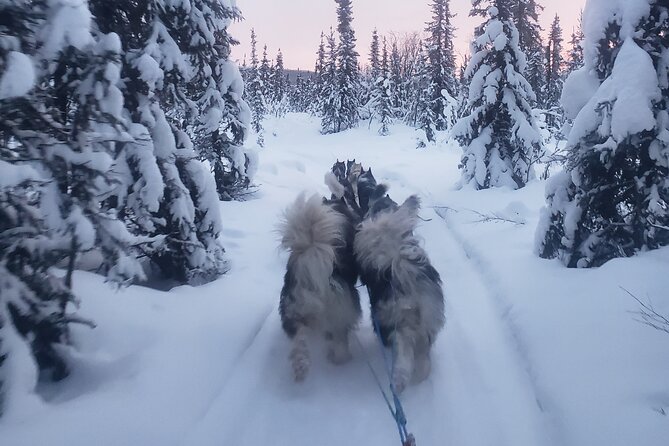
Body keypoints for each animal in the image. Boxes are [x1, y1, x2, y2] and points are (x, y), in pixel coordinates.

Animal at [276, 193, 360, 382]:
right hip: (341, 313)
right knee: (340, 343)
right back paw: (340, 360)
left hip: (293, 309)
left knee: (299, 339)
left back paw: (300, 368)